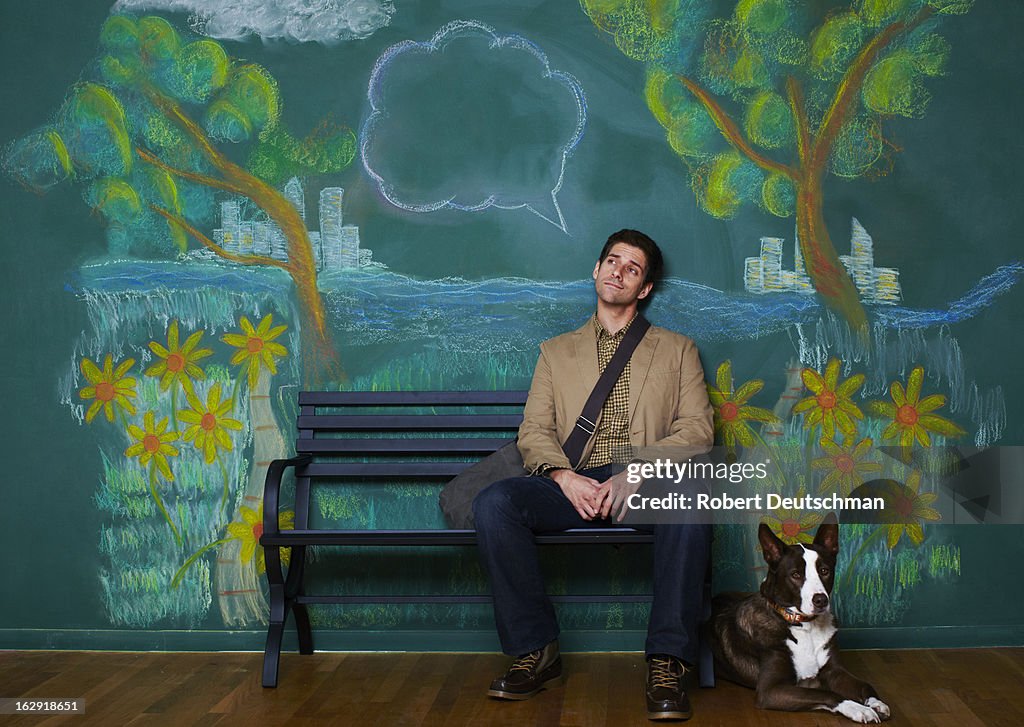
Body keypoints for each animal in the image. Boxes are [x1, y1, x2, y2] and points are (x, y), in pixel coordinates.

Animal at [712, 516, 888, 724]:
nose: (821, 600)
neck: (805, 625)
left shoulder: (835, 672)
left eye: (824, 571)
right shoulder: (770, 691)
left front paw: (875, 702)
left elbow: (865, 684)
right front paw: (857, 708)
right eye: (795, 575)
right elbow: (828, 694)